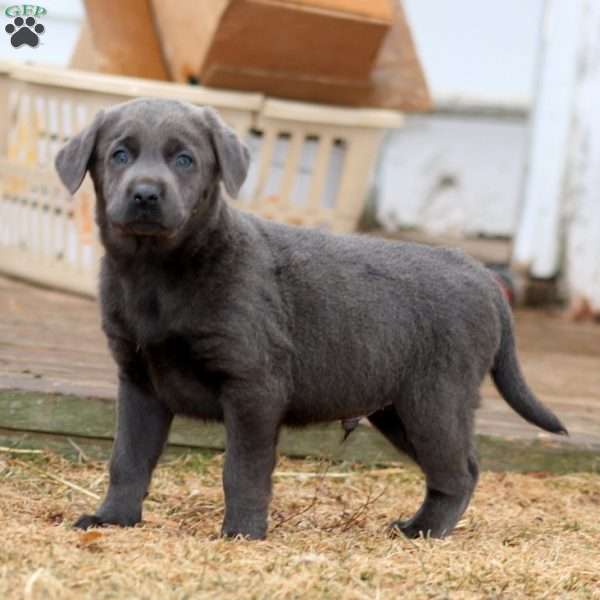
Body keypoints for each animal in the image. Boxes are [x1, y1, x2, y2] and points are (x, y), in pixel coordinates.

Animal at [54, 97, 564, 540]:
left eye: (185, 160)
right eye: (119, 155)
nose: (145, 194)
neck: (158, 273)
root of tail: (478, 272)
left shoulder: (254, 387)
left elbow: (243, 469)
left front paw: (243, 533)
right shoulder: (139, 381)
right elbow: (128, 458)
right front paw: (112, 519)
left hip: (435, 400)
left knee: (460, 473)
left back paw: (423, 531)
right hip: (397, 409)